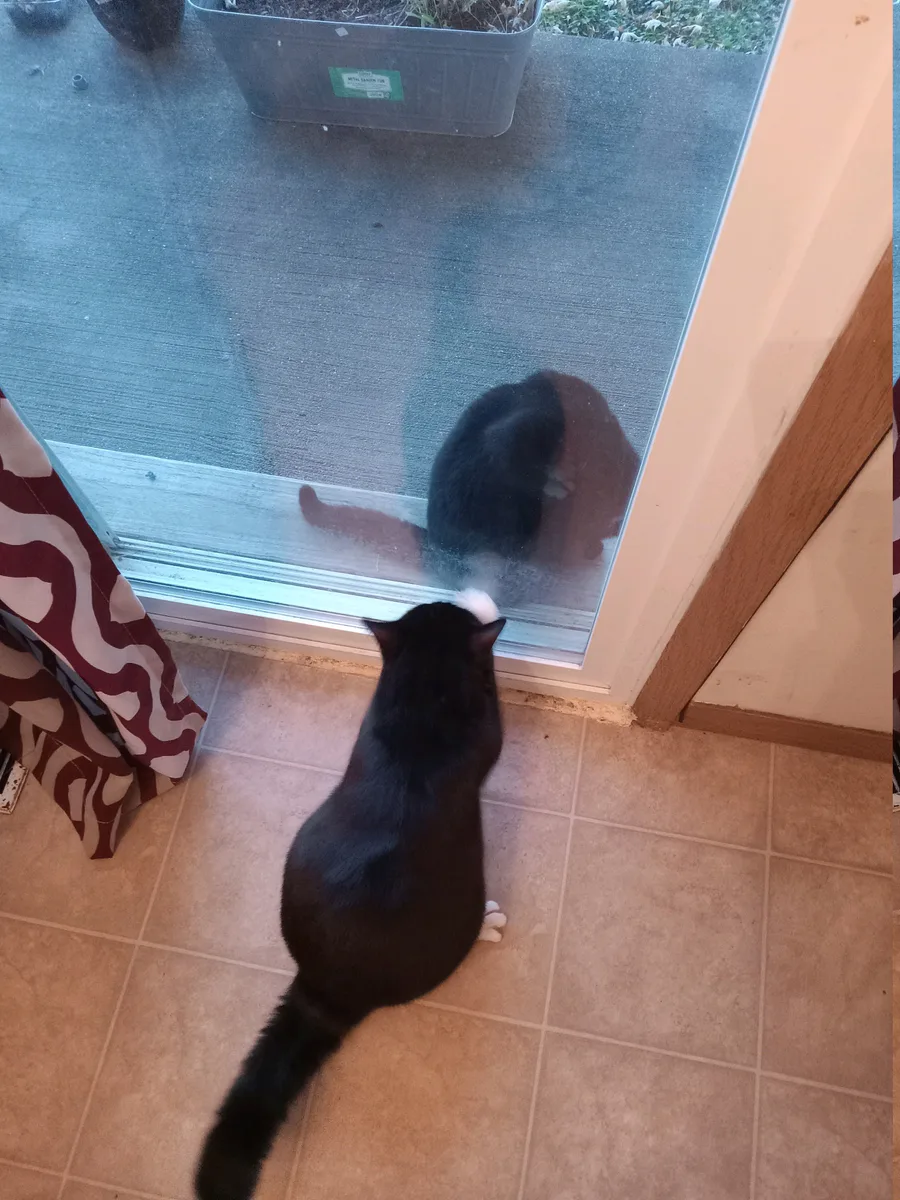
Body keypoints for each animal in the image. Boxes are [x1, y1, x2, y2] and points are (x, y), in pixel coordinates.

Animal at [194, 592, 507, 1200]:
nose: (449, 594)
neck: (421, 692)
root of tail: (326, 986)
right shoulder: (487, 727)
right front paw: (483, 603)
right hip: (457, 912)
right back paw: (490, 919)